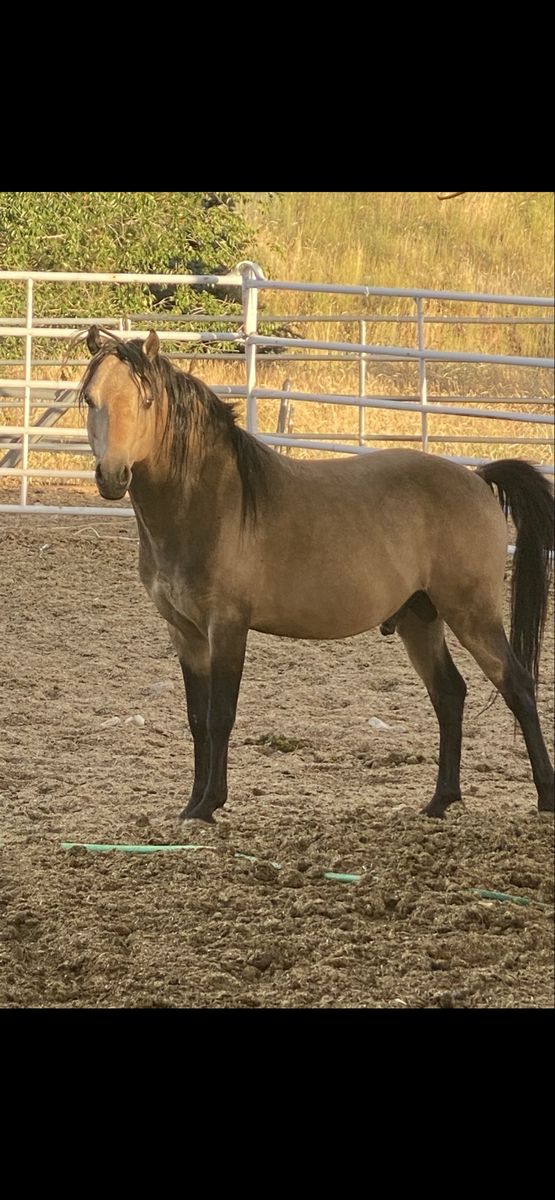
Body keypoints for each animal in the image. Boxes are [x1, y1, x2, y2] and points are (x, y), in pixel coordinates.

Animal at [80, 326, 554, 823]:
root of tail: (477, 479)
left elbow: (220, 716)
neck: (207, 502)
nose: (112, 476)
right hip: (420, 618)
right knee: (449, 694)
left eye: (146, 400)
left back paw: (544, 795)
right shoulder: (185, 632)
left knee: (517, 686)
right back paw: (440, 800)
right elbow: (196, 719)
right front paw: (192, 806)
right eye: (91, 399)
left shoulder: (226, 627)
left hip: (472, 614)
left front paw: (211, 802)